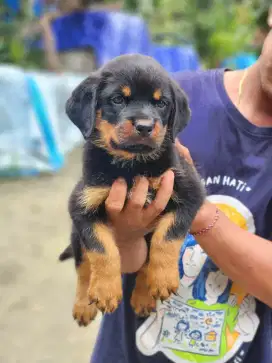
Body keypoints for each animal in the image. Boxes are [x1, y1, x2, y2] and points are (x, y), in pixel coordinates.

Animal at [59, 54, 204, 328]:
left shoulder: (190, 192)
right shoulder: (83, 204)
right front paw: (105, 290)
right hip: (75, 234)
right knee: (83, 269)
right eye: (118, 99)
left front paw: (163, 278)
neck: (133, 166)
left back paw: (144, 296)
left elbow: (166, 237)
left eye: (162, 103)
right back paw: (83, 305)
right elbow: (102, 250)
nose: (145, 126)